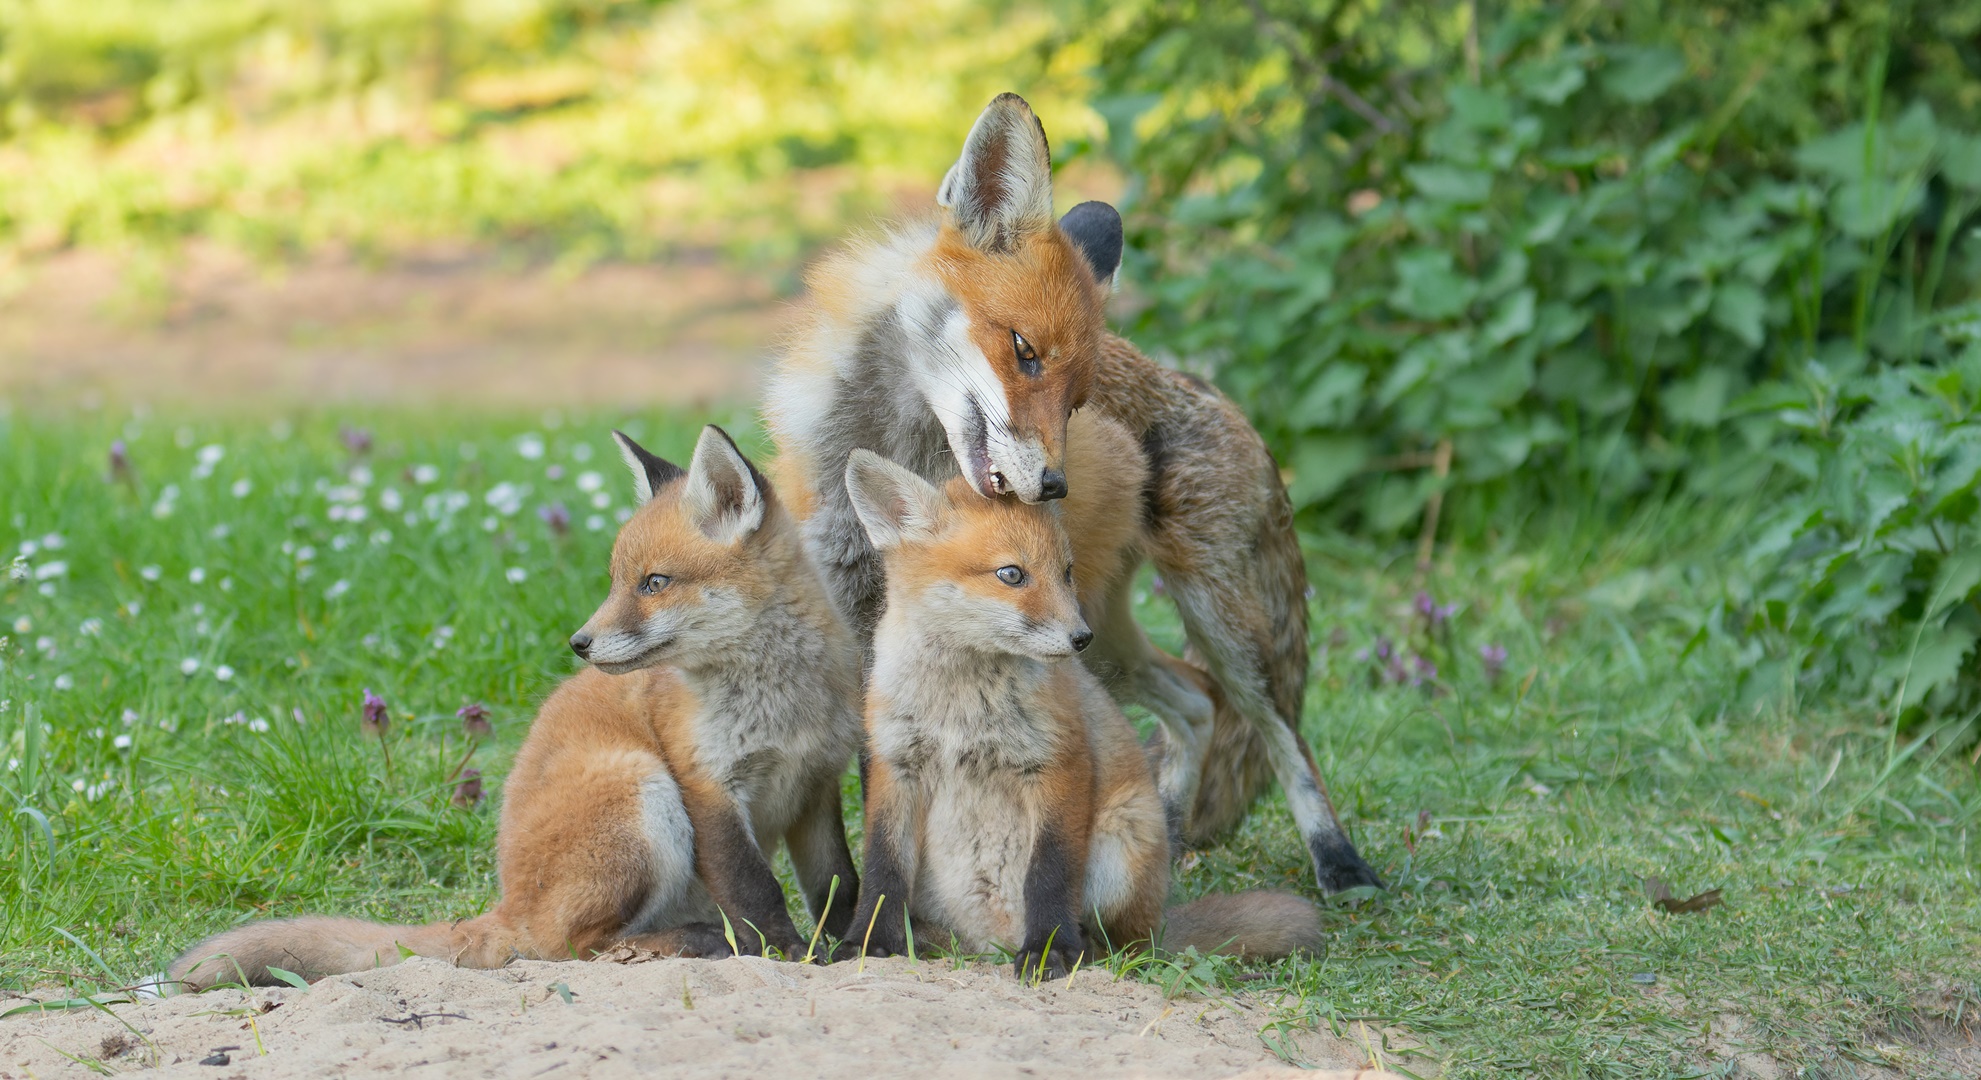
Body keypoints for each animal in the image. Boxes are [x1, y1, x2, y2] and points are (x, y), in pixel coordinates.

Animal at [176, 426, 867, 990]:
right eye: (617, 582)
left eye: (654, 583)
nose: (579, 643)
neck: (780, 700)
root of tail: (507, 906)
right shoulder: (707, 784)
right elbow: (757, 890)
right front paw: (789, 954)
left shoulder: (814, 785)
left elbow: (838, 884)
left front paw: (855, 945)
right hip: (641, 790)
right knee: (573, 948)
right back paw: (690, 944)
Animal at [764, 92, 1386, 887]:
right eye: (1024, 351)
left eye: (1077, 399)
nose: (1053, 484)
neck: (881, 452)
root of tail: (1209, 390)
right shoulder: (859, 632)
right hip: (1097, 640)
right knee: (1196, 702)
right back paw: (1167, 833)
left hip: (1213, 623)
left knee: (1277, 730)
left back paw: (1338, 862)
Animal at [828, 416, 1323, 971]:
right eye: (1011, 574)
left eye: (1066, 572)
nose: (1081, 638)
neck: (960, 707)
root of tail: (990, 943)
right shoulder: (896, 765)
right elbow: (882, 873)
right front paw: (867, 943)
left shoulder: (1060, 761)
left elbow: (1048, 874)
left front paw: (1049, 951)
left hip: (1120, 847)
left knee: (1122, 945)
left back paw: (1079, 948)